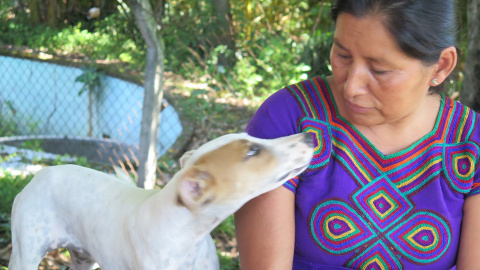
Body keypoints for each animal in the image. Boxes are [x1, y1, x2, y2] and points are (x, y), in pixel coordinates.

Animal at [9, 132, 316, 268]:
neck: (184, 238)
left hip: (84, 260)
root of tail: (39, 174)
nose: (309, 136)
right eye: (252, 152)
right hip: (25, 255)